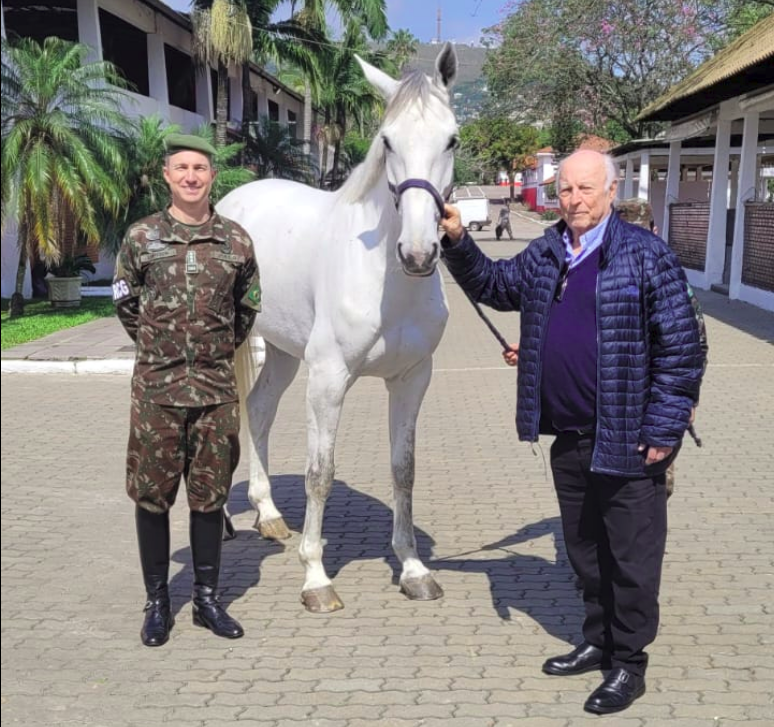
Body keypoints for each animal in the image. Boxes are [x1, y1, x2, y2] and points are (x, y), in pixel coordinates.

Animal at [217, 45, 460, 616]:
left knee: (259, 409)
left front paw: (413, 568)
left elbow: (403, 468)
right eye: (387, 141)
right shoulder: (328, 380)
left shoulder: (413, 379)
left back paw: (268, 515)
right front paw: (316, 577)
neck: (386, 282)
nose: (419, 254)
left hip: (283, 351)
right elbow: (319, 474)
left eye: (452, 139)